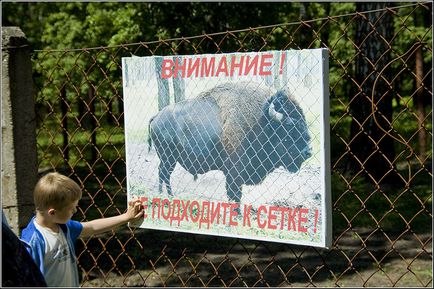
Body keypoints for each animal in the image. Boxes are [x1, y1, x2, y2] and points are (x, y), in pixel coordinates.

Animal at [149, 81, 312, 202]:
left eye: (304, 121)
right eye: (290, 125)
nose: (308, 151)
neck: (261, 122)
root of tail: (157, 116)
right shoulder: (234, 173)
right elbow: (235, 195)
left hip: (169, 159)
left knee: (163, 174)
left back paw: (166, 195)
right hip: (168, 158)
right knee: (163, 173)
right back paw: (166, 195)